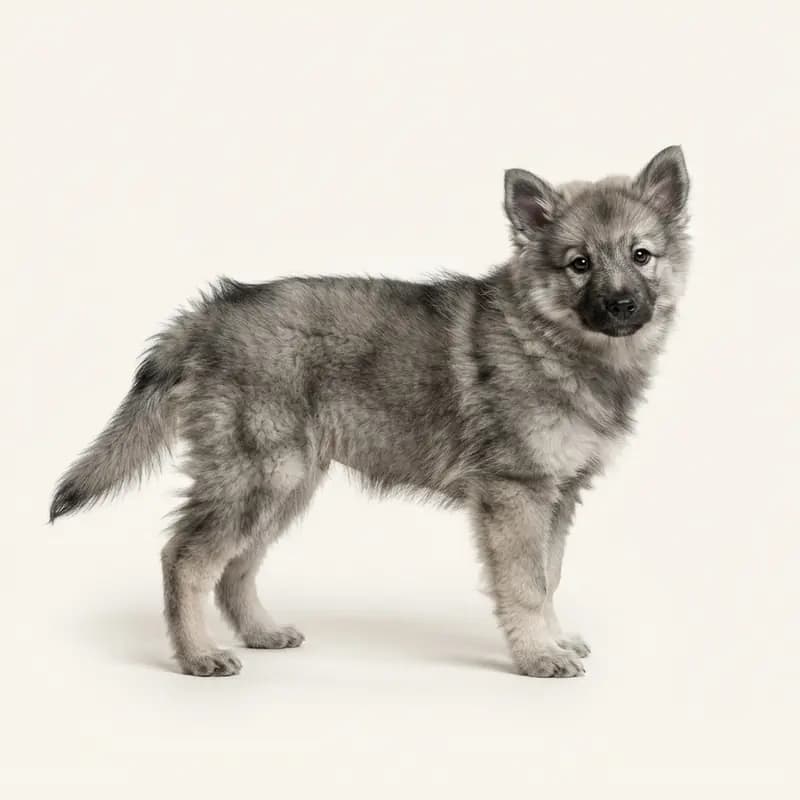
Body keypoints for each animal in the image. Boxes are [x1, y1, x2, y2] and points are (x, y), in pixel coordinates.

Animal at [50, 146, 690, 678]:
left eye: (641, 256)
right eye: (579, 263)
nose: (622, 304)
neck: (551, 340)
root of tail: (209, 312)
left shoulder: (559, 495)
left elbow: (549, 576)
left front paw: (553, 641)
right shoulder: (517, 493)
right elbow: (527, 584)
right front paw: (538, 656)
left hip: (287, 484)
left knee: (235, 567)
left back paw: (260, 632)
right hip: (260, 475)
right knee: (185, 558)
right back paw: (197, 655)